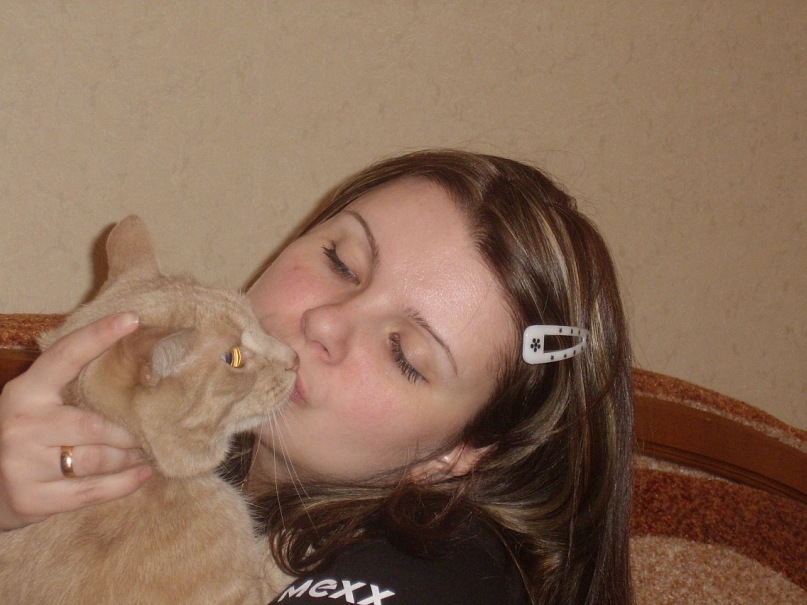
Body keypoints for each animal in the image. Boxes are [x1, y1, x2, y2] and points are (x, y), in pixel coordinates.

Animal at [0, 215, 296, 604]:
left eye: (258, 322)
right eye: (233, 358)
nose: (295, 358)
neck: (150, 467)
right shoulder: (240, 595)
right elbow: (274, 563)